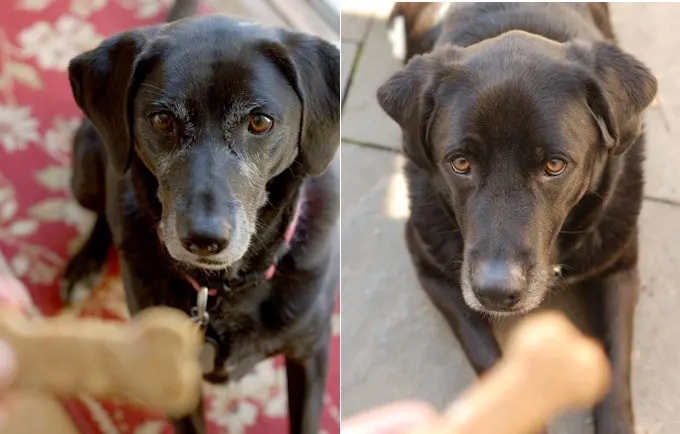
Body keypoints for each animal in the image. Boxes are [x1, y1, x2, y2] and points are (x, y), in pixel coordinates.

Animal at [64, 13, 340, 434]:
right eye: (162, 120)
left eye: (260, 122)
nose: (203, 239)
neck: (220, 290)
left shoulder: (311, 351)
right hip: (86, 177)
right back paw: (84, 266)